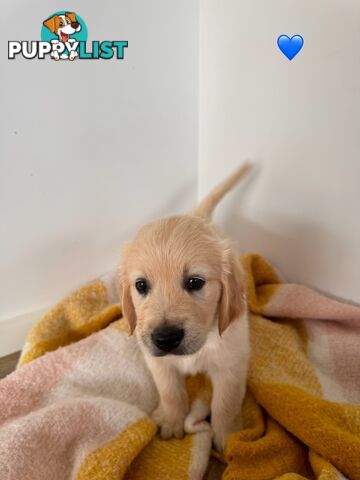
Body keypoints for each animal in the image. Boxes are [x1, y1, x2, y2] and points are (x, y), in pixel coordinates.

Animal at [120, 163, 250, 452]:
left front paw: (225, 437)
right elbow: (171, 392)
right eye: (141, 285)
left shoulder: (231, 364)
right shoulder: (158, 362)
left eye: (195, 282)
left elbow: (225, 404)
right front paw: (172, 420)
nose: (165, 338)